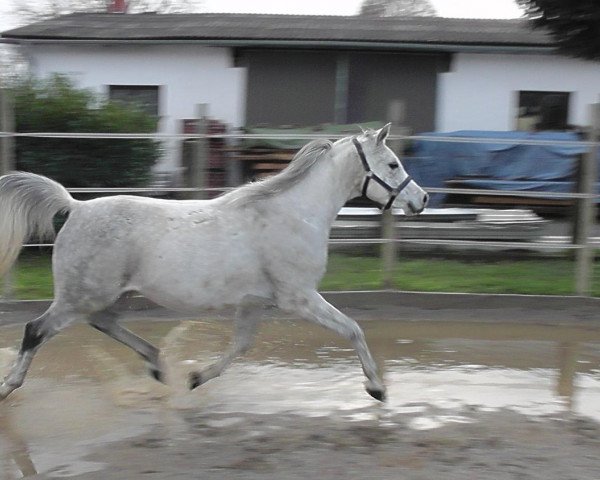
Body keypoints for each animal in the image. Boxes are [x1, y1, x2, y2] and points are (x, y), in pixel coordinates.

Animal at [0, 125, 426, 404]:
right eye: (392, 164)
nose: (420, 200)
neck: (294, 213)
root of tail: (77, 206)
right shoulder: (299, 297)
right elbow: (353, 329)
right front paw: (377, 388)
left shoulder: (255, 302)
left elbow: (240, 346)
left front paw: (195, 378)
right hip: (80, 296)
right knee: (36, 330)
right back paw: (8, 387)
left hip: (104, 295)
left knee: (104, 322)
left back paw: (158, 364)